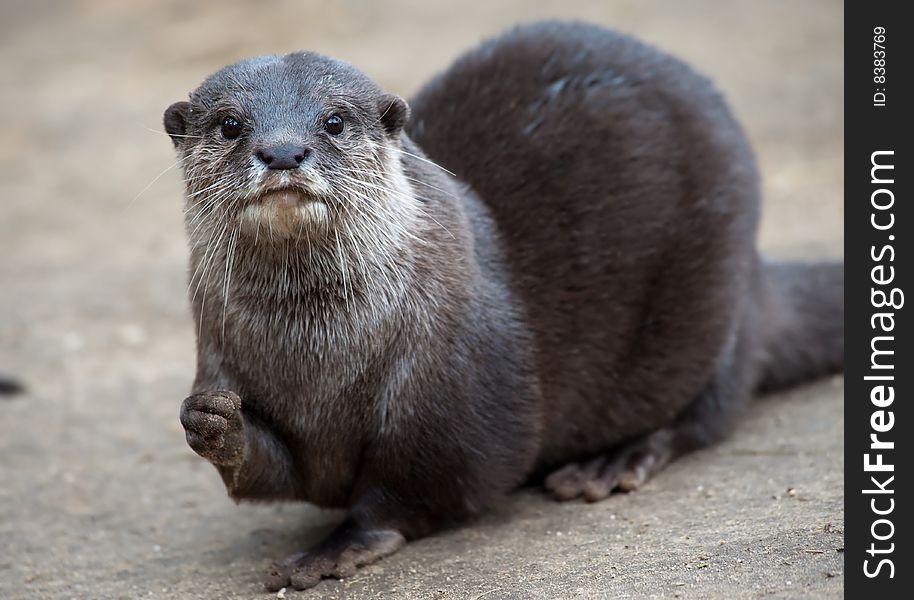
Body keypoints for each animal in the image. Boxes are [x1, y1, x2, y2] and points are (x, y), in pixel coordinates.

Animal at [162, 22, 840, 592]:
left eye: (333, 121)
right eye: (229, 124)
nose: (282, 152)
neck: (317, 362)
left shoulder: (449, 397)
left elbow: (421, 486)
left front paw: (336, 548)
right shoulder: (226, 362)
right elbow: (277, 471)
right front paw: (213, 425)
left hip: (714, 297)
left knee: (711, 405)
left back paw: (612, 460)